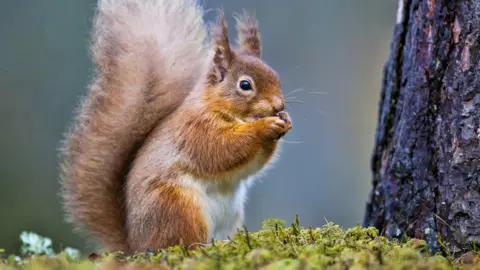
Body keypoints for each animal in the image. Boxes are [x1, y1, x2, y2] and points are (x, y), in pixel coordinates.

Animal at [60, 0, 292, 254]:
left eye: (276, 77)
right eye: (245, 85)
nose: (279, 105)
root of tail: (136, 245)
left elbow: (251, 165)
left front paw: (285, 120)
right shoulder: (195, 129)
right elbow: (223, 149)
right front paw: (265, 126)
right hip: (178, 206)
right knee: (182, 244)